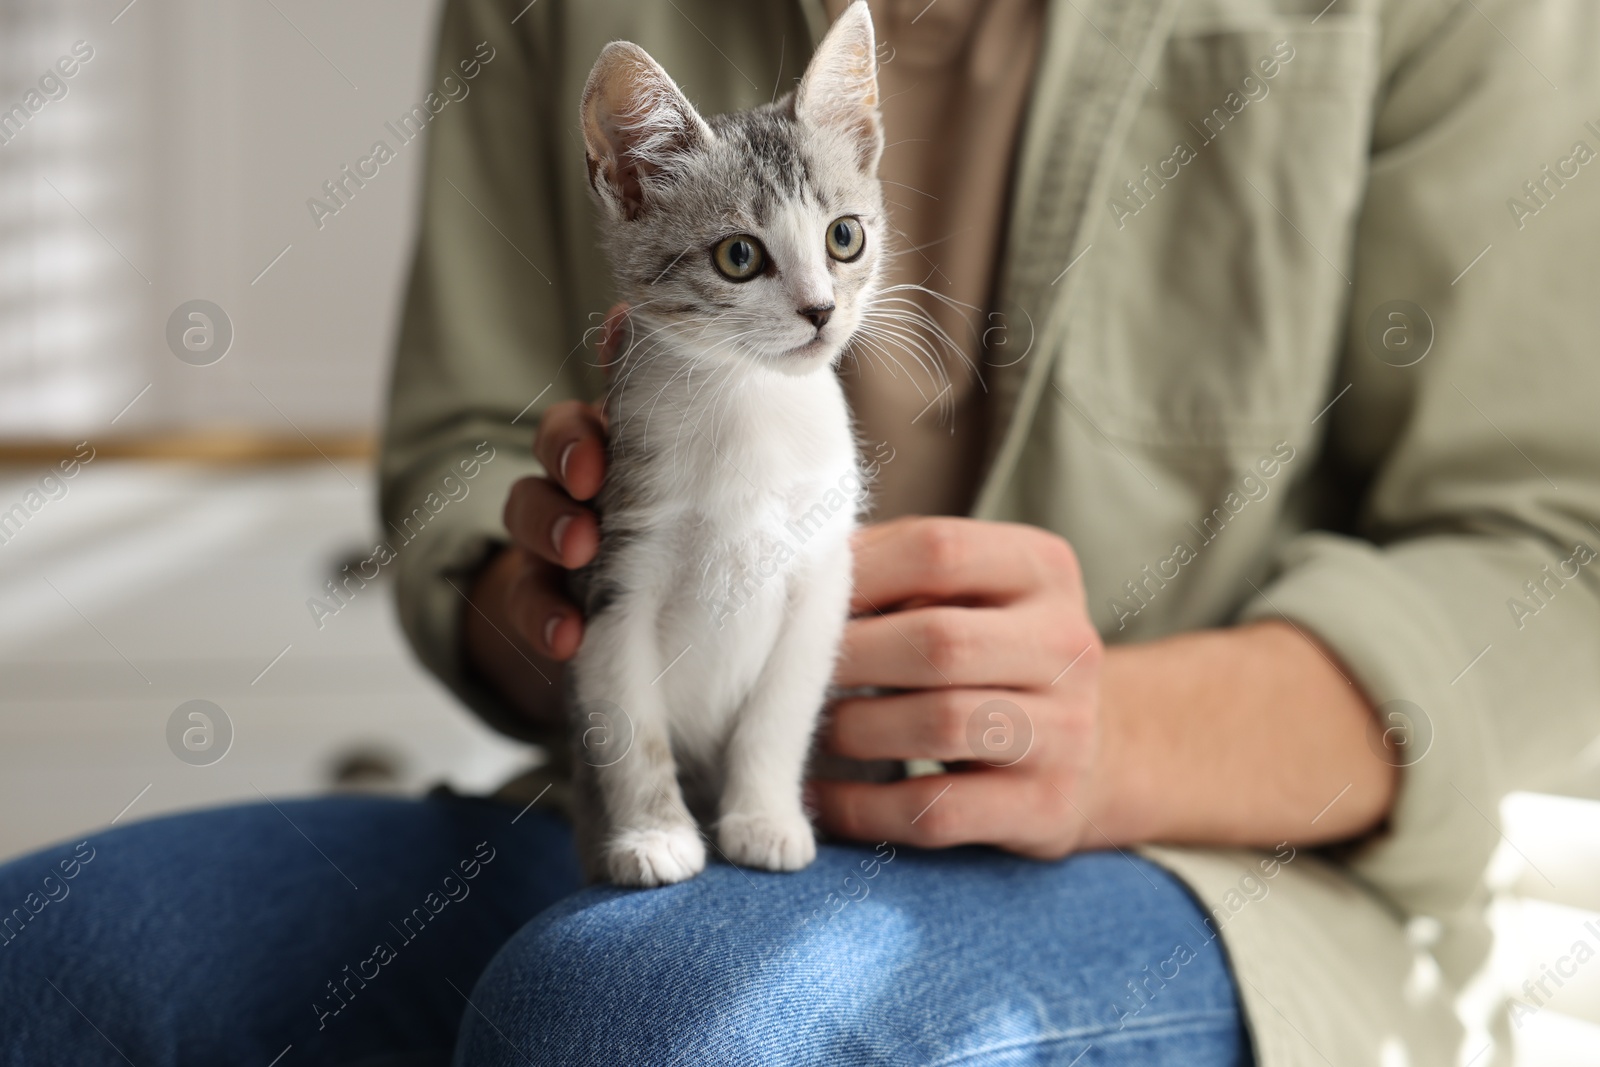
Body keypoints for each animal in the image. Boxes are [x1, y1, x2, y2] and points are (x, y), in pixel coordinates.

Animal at [566, 2, 889, 883]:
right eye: (738, 255)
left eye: (844, 237)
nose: (820, 309)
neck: (749, 406)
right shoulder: (618, 576)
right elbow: (628, 721)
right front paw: (653, 834)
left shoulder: (822, 576)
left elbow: (778, 715)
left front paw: (764, 816)